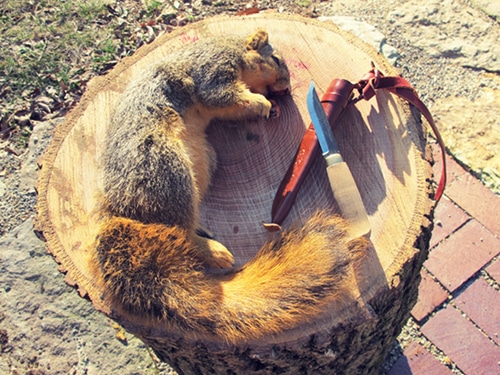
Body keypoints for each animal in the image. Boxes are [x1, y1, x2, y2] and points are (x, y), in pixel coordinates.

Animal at [94, 30, 368, 344]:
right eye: (275, 59)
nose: (286, 92)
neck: (233, 49)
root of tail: (119, 211)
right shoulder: (213, 70)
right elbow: (224, 96)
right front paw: (263, 104)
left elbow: (232, 108)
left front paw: (265, 107)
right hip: (164, 171)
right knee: (178, 229)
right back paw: (214, 251)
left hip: (203, 160)